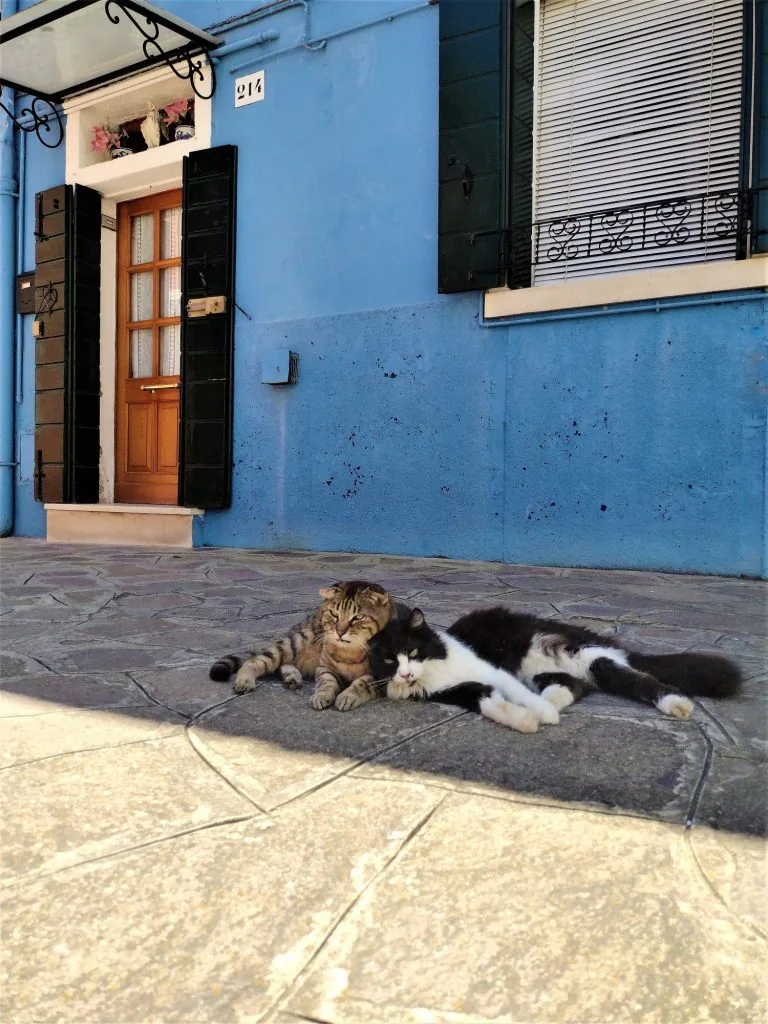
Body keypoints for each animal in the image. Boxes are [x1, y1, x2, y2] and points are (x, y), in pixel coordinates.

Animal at [207, 585, 405, 712]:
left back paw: (292, 677)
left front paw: (347, 696)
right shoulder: (325, 668)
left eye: (358, 617)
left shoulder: (382, 676)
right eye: (335, 615)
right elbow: (327, 682)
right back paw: (246, 680)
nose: (340, 632)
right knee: (254, 661)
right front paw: (322, 695)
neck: (349, 653)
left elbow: (361, 683)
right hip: (294, 644)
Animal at [370, 602, 741, 733]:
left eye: (412, 651)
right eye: (388, 661)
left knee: (640, 680)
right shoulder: (458, 692)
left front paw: (540, 715)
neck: (436, 667)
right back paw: (553, 702)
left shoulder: (492, 671)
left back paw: (676, 704)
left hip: (582, 655)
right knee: (574, 686)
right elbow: (489, 702)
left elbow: (513, 694)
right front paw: (524, 721)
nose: (405, 673)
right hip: (547, 671)